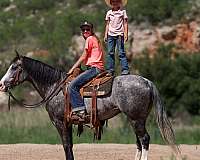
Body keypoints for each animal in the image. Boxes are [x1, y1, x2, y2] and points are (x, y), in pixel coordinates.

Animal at [0, 55, 180, 160]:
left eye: (14, 67)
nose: (1, 84)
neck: (54, 86)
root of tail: (147, 82)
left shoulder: (60, 122)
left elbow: (66, 146)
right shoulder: (68, 123)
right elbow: (70, 146)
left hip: (136, 119)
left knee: (144, 140)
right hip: (136, 119)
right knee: (139, 142)